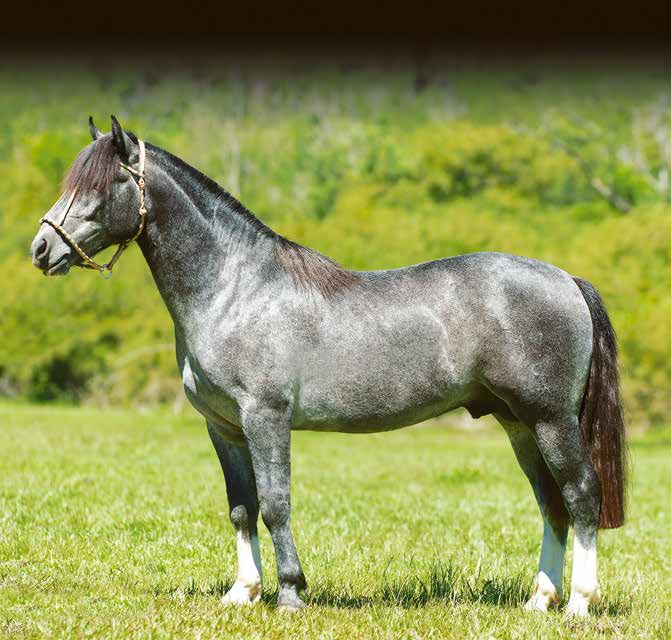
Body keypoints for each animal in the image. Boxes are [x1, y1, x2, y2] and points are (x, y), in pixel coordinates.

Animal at [32, 119, 632, 616]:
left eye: (105, 182)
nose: (40, 249)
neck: (234, 288)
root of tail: (566, 279)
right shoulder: (224, 427)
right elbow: (242, 507)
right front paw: (243, 592)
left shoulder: (265, 418)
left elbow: (275, 504)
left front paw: (290, 594)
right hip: (519, 425)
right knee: (552, 503)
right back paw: (540, 600)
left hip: (551, 420)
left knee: (582, 494)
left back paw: (579, 603)